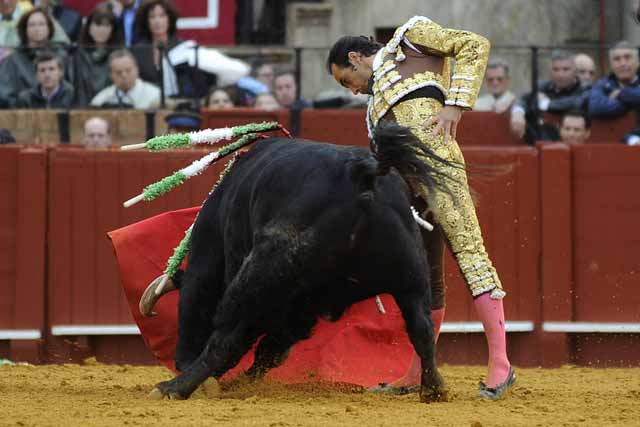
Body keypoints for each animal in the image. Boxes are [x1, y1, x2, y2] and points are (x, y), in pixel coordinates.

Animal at [149, 123, 456, 402]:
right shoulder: (303, 305)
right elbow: (273, 348)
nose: (181, 361)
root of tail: (361, 175)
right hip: (412, 275)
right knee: (421, 327)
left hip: (261, 269)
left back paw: (173, 388)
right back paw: (433, 389)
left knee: (227, 334)